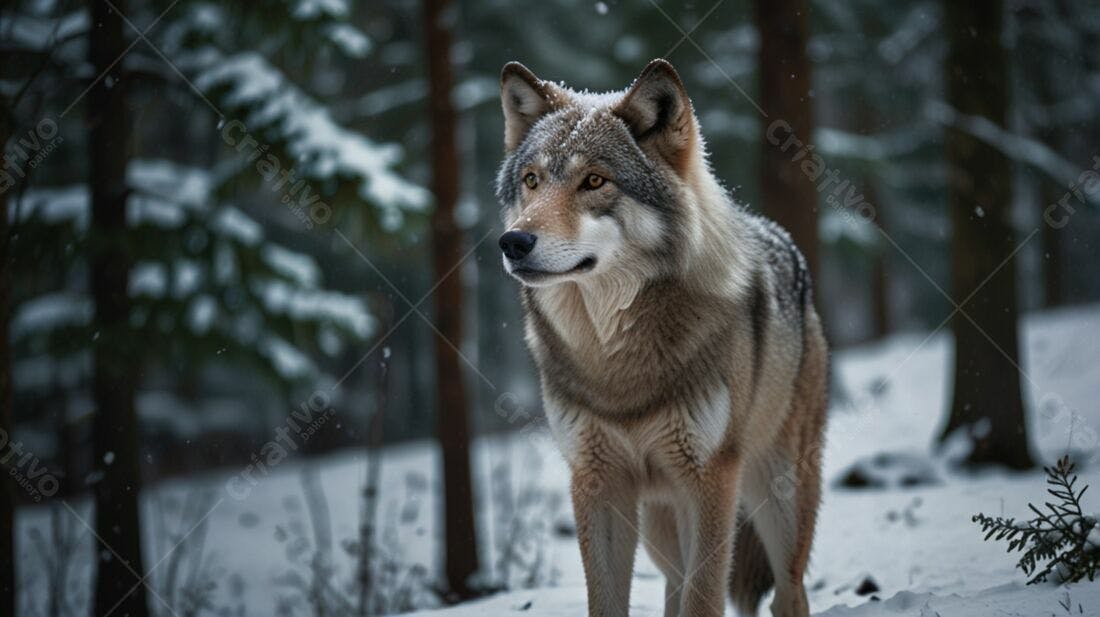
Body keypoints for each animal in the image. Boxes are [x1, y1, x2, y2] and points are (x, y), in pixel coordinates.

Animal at [495, 59, 828, 617]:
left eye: (594, 180)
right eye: (532, 180)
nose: (513, 242)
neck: (615, 360)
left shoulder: (711, 480)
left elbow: (704, 598)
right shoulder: (597, 483)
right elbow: (608, 601)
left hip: (775, 501)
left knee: (789, 589)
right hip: (659, 526)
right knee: (675, 583)